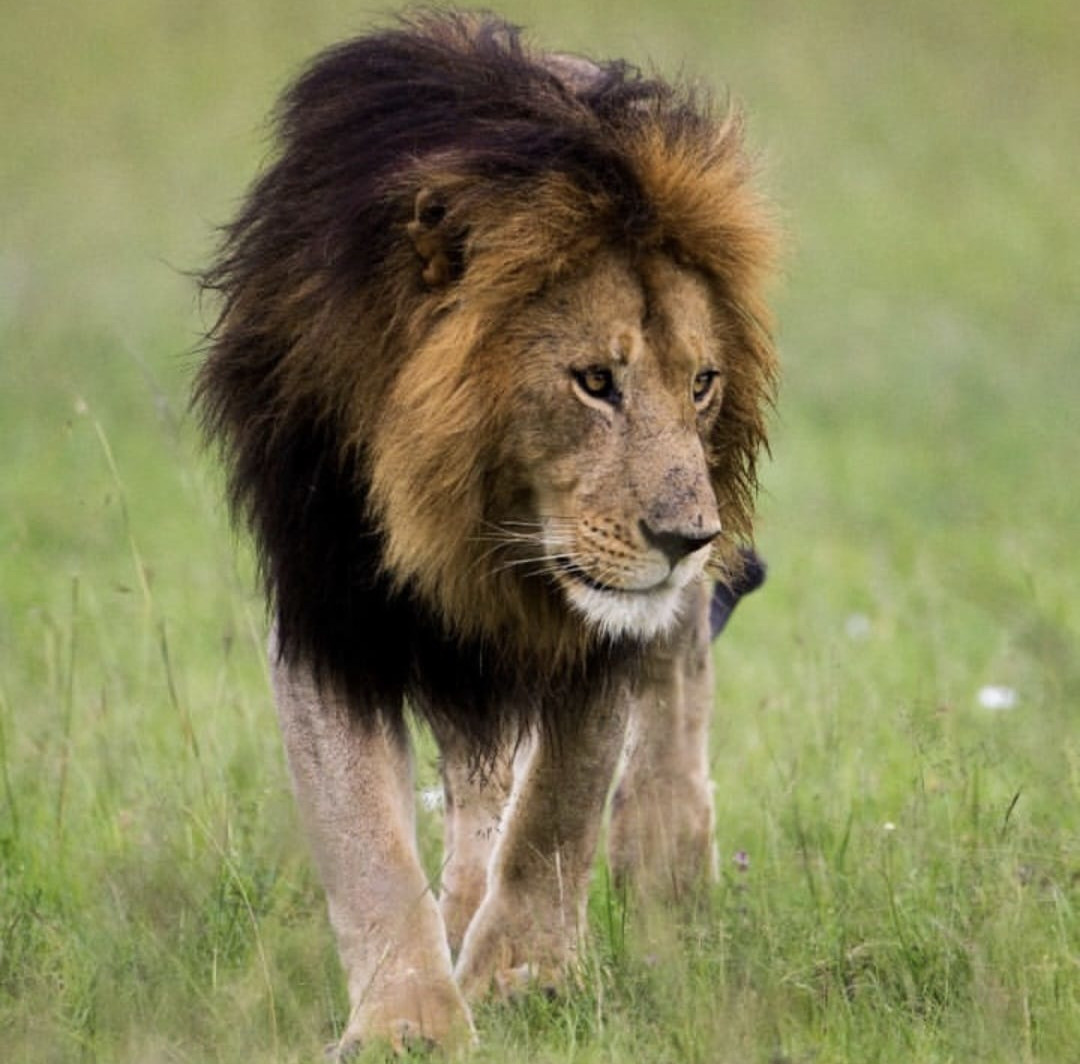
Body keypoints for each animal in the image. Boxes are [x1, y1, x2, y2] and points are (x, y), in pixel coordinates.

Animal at [196, 11, 777, 1055]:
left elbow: (562, 803)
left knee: (672, 685)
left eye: (702, 383)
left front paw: (525, 982)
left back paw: (668, 867)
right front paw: (408, 1023)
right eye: (595, 381)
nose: (691, 538)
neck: (460, 521)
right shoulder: (328, 611)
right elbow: (367, 840)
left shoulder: (600, 631)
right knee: (478, 778)